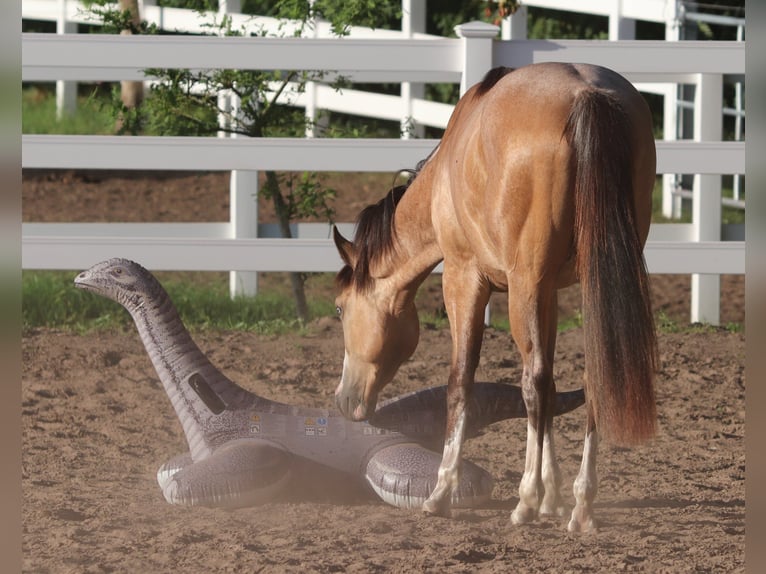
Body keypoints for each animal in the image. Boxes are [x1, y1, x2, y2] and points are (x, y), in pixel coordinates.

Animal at [331, 62, 658, 532]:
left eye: (339, 308)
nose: (343, 400)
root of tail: (586, 95)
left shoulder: (465, 280)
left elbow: (461, 382)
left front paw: (442, 491)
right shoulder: (547, 292)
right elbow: (552, 384)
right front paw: (552, 495)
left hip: (523, 285)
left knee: (532, 381)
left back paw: (524, 502)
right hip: (585, 283)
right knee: (583, 375)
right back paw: (580, 506)